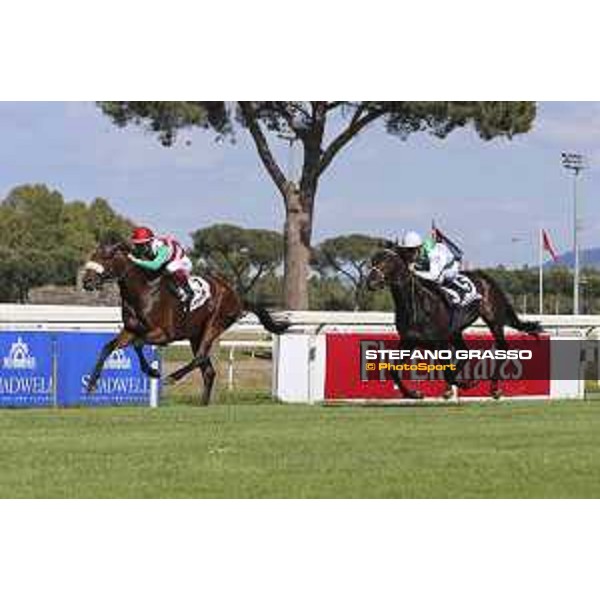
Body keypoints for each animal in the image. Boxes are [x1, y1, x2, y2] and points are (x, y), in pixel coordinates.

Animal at [82, 238, 290, 404]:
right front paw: (91, 383)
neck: (143, 290)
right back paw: (203, 403)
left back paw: (172, 378)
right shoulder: (131, 330)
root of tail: (236, 296)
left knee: (200, 357)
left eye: (106, 257)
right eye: (93, 255)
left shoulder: (163, 334)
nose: (86, 281)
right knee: (208, 370)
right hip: (195, 335)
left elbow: (138, 344)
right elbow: (108, 347)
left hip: (214, 324)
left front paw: (153, 372)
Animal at [364, 241, 540, 400]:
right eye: (373, 260)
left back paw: (494, 389)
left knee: (501, 348)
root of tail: (486, 278)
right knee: (464, 352)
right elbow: (393, 369)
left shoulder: (440, 342)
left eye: (387, 261)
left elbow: (447, 372)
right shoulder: (409, 341)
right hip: (456, 331)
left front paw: (466, 384)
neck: (416, 305)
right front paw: (413, 394)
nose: (370, 282)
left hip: (493, 319)